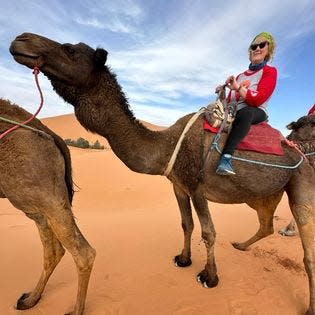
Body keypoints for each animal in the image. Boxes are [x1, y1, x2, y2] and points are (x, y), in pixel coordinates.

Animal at [0, 99, 96, 315]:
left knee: (83, 253)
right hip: (36, 203)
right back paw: (30, 300)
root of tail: (51, 135)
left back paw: (75, 310)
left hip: (36, 192)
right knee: (53, 250)